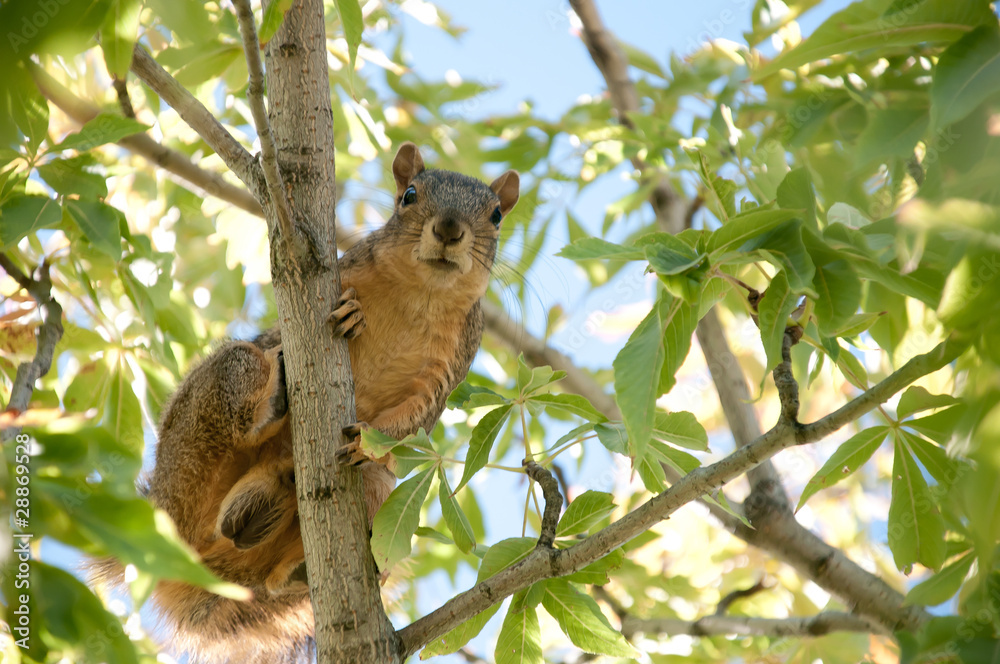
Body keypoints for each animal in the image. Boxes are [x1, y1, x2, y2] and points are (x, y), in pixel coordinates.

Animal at [94, 143, 520, 660]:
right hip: (209, 410)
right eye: (409, 195)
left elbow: (419, 419)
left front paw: (369, 441)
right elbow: (292, 326)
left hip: (378, 492)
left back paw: (289, 546)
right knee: (243, 387)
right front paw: (352, 313)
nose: (450, 229)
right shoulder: (333, 276)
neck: (421, 294)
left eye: (496, 215)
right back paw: (272, 406)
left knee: (284, 565)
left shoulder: (452, 363)